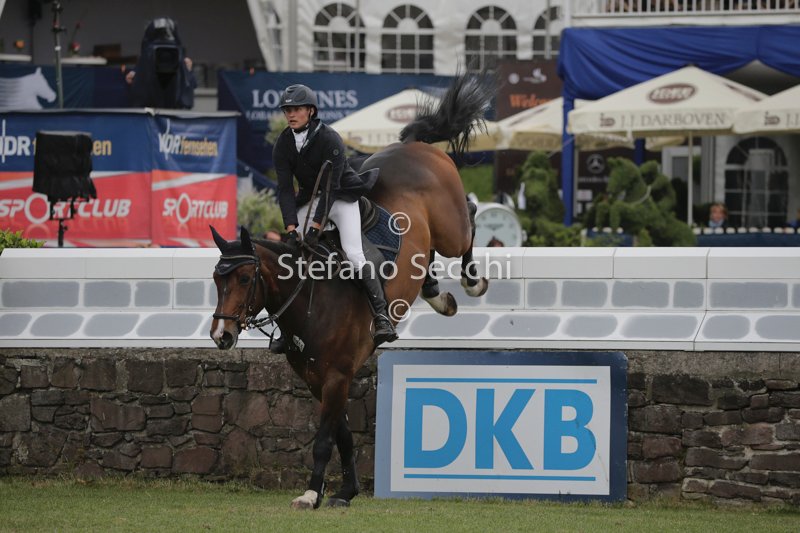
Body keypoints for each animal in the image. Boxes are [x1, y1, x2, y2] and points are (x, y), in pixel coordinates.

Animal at [210, 71, 492, 509]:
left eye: (243, 279)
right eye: (216, 279)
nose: (221, 335)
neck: (308, 302)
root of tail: (412, 145)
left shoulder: (338, 375)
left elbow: (325, 438)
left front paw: (312, 493)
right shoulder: (317, 378)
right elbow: (341, 434)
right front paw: (345, 491)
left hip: (451, 228)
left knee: (471, 221)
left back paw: (472, 280)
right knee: (427, 256)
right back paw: (436, 294)